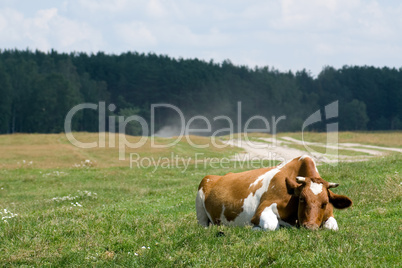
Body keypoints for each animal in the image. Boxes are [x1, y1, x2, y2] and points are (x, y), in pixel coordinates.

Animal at [197, 155, 352, 230]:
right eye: (302, 199)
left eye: (325, 203)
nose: (310, 227)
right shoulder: (261, 210)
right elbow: (271, 225)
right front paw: (253, 228)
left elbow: (333, 227)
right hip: (200, 204)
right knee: (203, 225)